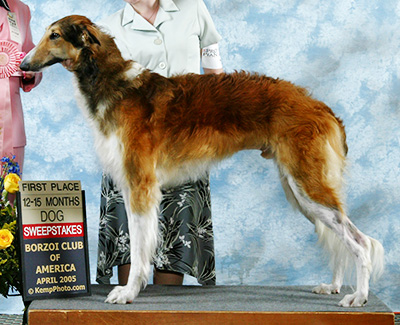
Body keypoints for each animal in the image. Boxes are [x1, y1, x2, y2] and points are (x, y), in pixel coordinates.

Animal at [20, 14, 382, 304]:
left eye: (54, 35)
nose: (22, 66)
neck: (116, 85)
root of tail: (322, 109)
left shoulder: (140, 185)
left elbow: (138, 249)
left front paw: (128, 292)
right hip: (302, 191)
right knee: (339, 239)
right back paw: (334, 286)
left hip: (307, 183)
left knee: (361, 243)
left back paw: (358, 297)